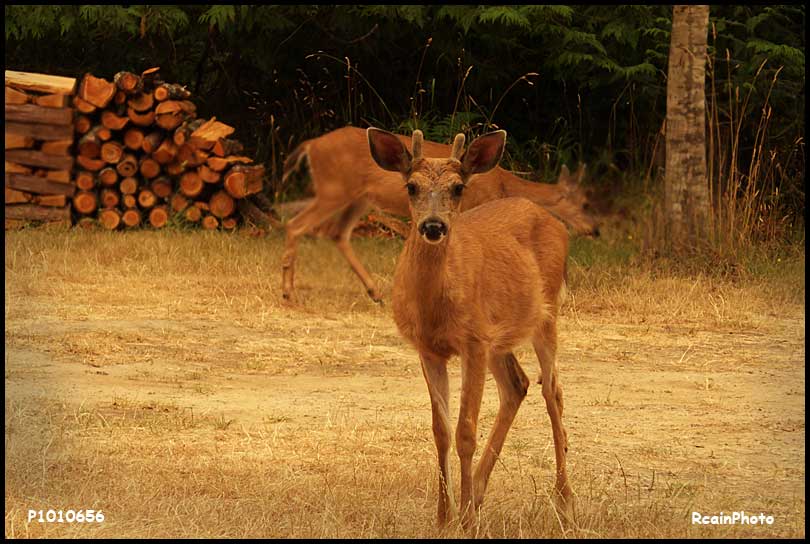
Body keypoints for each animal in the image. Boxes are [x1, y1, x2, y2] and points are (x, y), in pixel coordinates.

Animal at [280, 128, 596, 306]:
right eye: (584, 203)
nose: (596, 230)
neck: (502, 183)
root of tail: (311, 144)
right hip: (334, 189)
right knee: (295, 224)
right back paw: (289, 293)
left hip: (357, 198)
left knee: (336, 232)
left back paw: (375, 292)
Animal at [362, 127, 572, 528]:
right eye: (411, 186)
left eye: (458, 187)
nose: (433, 226)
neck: (435, 308)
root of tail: (552, 219)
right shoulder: (430, 349)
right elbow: (441, 431)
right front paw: (445, 517)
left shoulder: (473, 341)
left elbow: (465, 432)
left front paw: (465, 523)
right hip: (500, 337)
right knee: (518, 385)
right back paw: (476, 494)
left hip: (547, 313)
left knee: (552, 390)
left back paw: (563, 502)